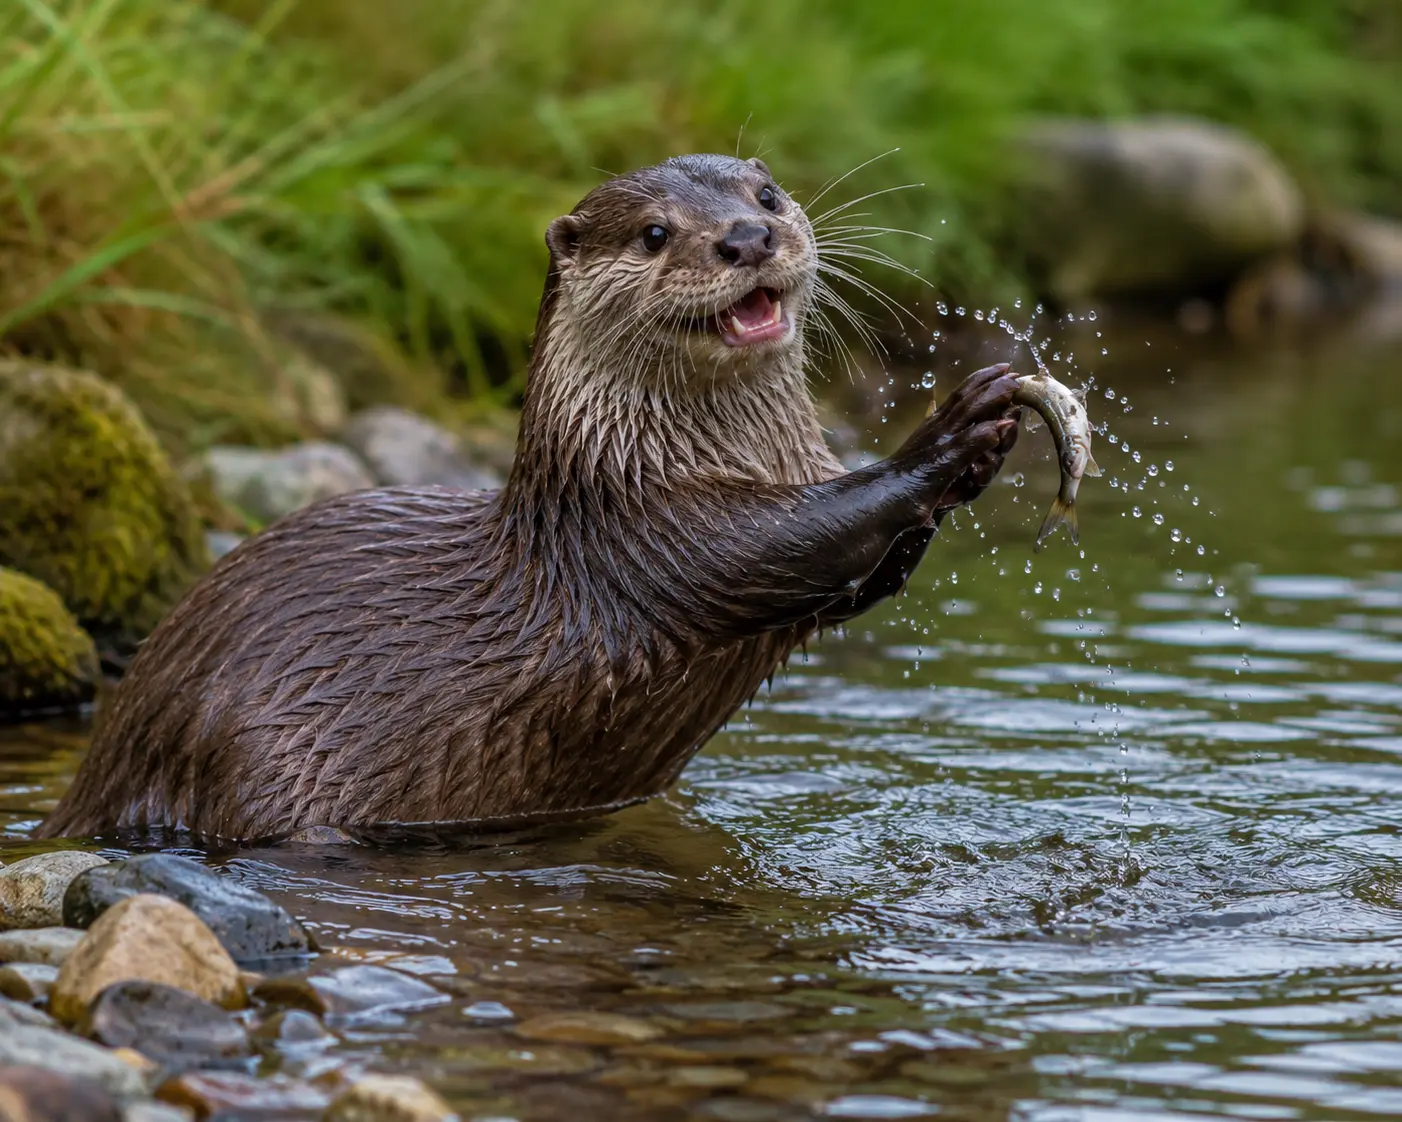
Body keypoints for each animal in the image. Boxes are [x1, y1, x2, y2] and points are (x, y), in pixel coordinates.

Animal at [39, 154, 1020, 842]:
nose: (745, 237)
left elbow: (860, 582)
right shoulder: (654, 533)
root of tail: (102, 767)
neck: (633, 461)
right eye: (654, 234)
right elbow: (794, 538)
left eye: (768, 194)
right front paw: (950, 434)